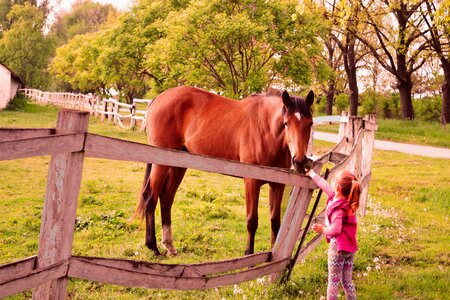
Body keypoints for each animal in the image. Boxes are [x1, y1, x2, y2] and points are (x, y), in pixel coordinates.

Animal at [135, 85, 314, 256]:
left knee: (166, 198)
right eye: (286, 123)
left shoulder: (277, 184)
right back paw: (153, 247)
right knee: (151, 197)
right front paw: (248, 254)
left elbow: (275, 222)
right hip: (161, 163)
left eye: (310, 123)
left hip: (178, 164)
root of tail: (158, 98)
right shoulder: (251, 182)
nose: (299, 161)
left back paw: (169, 246)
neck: (266, 130)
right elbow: (252, 221)